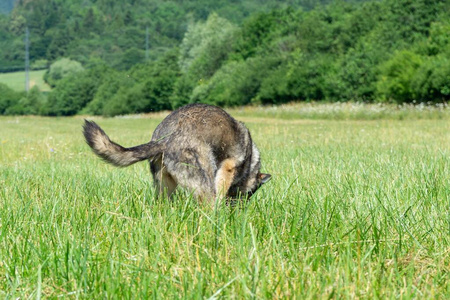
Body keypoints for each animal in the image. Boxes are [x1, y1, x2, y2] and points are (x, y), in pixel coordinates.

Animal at [82, 103, 270, 202]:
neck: (250, 163)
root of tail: (165, 138)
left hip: (164, 185)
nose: (238, 210)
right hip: (203, 177)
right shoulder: (228, 169)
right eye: (250, 193)